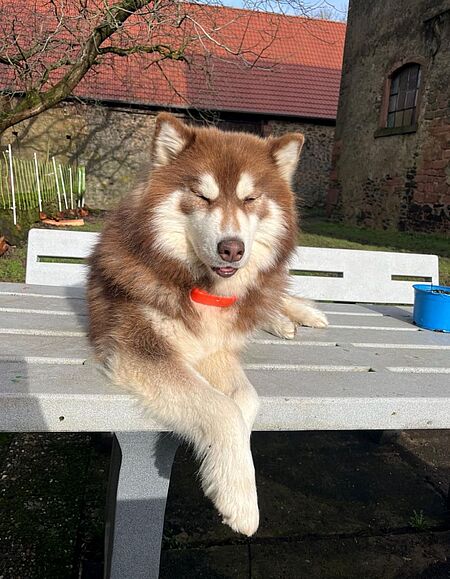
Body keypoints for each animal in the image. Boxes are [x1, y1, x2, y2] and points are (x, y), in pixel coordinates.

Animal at [87, 113, 328, 536]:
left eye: (251, 199)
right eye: (202, 196)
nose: (232, 249)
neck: (205, 289)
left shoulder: (217, 348)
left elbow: (245, 400)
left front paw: (230, 477)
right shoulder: (143, 349)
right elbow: (222, 408)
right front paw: (239, 497)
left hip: (266, 285)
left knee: (269, 295)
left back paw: (295, 315)